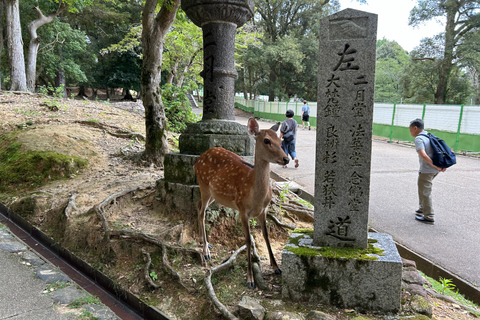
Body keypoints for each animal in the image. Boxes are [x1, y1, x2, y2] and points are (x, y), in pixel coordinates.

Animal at [194, 118, 288, 290]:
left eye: (281, 140)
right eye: (266, 140)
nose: (286, 159)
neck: (256, 196)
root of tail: (198, 159)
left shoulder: (264, 210)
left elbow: (266, 235)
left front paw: (277, 267)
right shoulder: (242, 209)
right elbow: (248, 240)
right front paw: (250, 279)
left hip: (214, 194)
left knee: (198, 206)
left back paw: (204, 242)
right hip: (203, 184)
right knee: (202, 212)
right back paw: (205, 251)